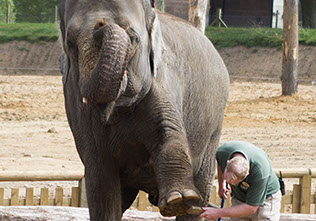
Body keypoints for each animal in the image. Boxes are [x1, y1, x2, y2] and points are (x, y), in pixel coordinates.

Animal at [58, 0, 228, 220]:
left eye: (134, 38)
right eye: (70, 44)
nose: (101, 24)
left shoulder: (163, 79)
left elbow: (167, 131)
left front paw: (178, 200)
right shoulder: (76, 103)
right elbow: (100, 177)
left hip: (213, 131)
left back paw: (191, 204)